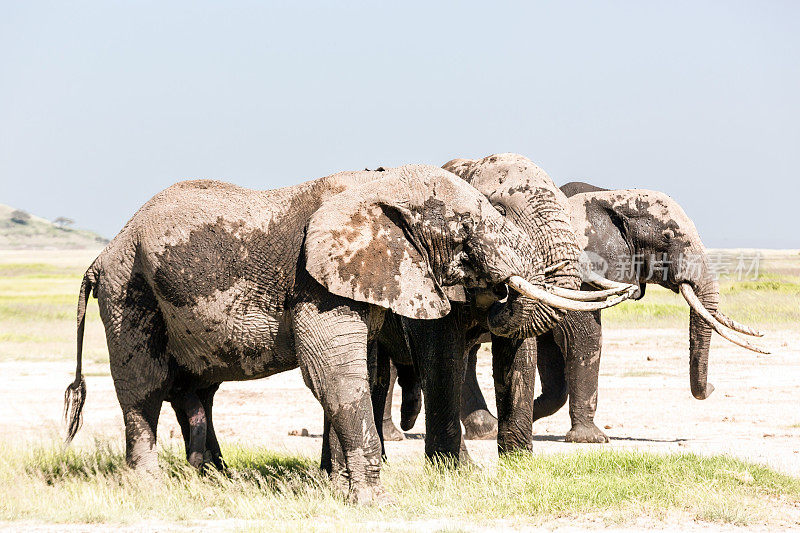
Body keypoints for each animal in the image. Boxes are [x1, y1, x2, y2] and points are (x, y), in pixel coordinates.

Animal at [62, 163, 624, 502]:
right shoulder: (313, 280)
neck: (382, 187)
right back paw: (149, 490)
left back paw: (210, 479)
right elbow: (334, 373)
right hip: (128, 293)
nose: (500, 290)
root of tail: (102, 254)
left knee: (196, 391)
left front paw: (345, 491)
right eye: (468, 228)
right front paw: (373, 501)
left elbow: (355, 370)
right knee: (144, 390)